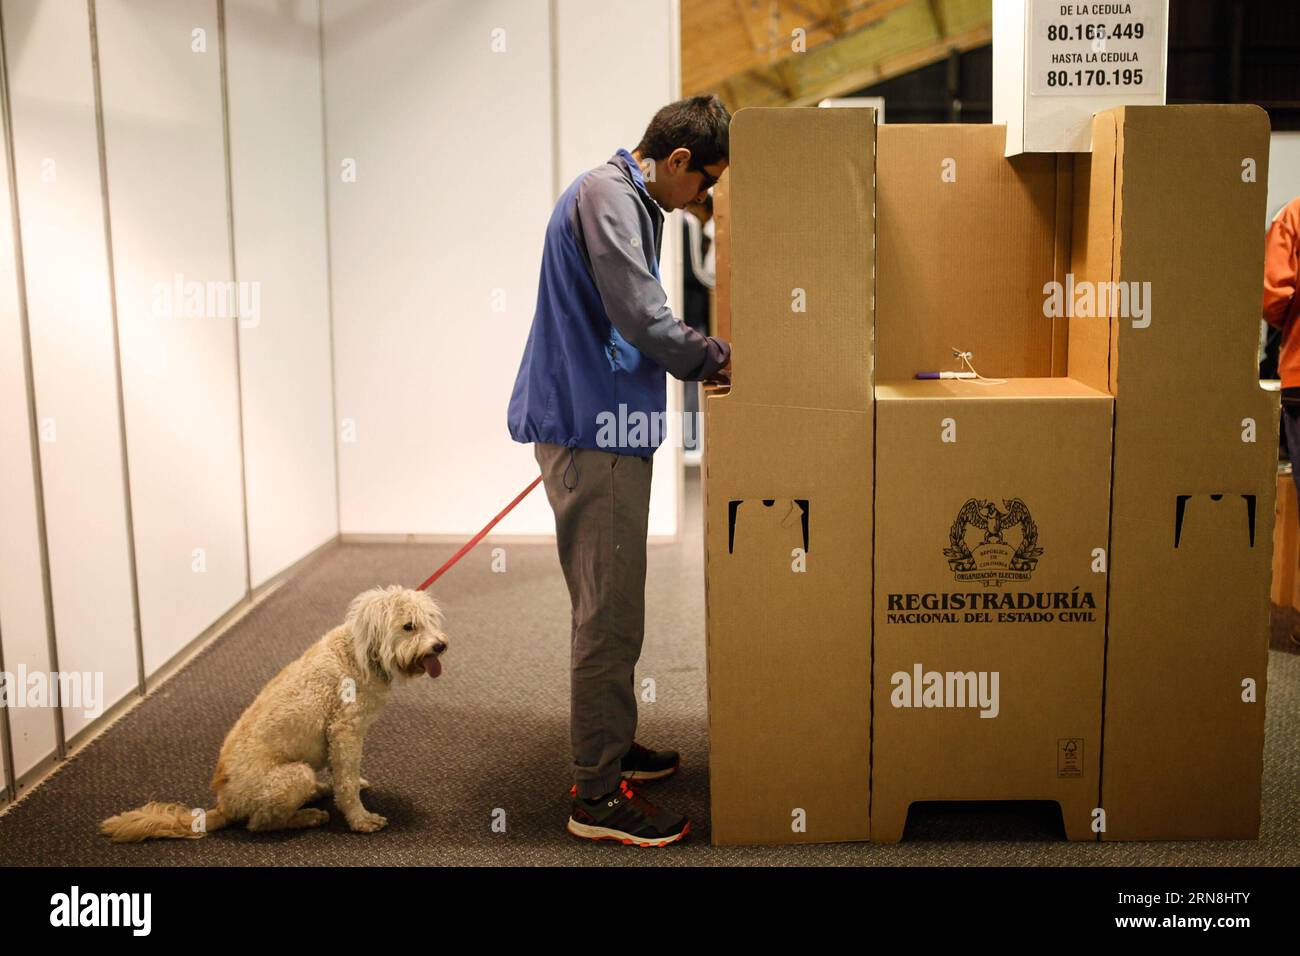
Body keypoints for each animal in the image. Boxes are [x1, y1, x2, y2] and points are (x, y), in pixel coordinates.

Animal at [101, 582, 449, 842]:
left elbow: (342, 774)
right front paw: (361, 820)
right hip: (292, 777)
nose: (440, 645)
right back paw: (307, 816)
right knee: (260, 824)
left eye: (432, 620)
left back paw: (318, 792)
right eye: (409, 626)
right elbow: (347, 783)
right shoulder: (345, 731)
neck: (359, 654)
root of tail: (224, 806)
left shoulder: (337, 739)